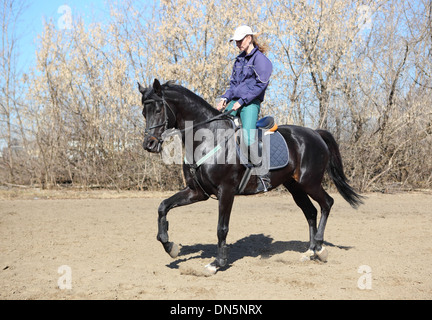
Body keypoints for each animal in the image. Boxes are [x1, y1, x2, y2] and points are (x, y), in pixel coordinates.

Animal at [138, 79, 362, 274]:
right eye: (143, 112)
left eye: (158, 109)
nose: (149, 144)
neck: (208, 138)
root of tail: (315, 133)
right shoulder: (196, 192)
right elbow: (163, 207)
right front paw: (170, 246)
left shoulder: (226, 191)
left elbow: (221, 228)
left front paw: (217, 263)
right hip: (295, 186)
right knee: (311, 212)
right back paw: (310, 251)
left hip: (310, 182)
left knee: (327, 204)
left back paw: (320, 249)